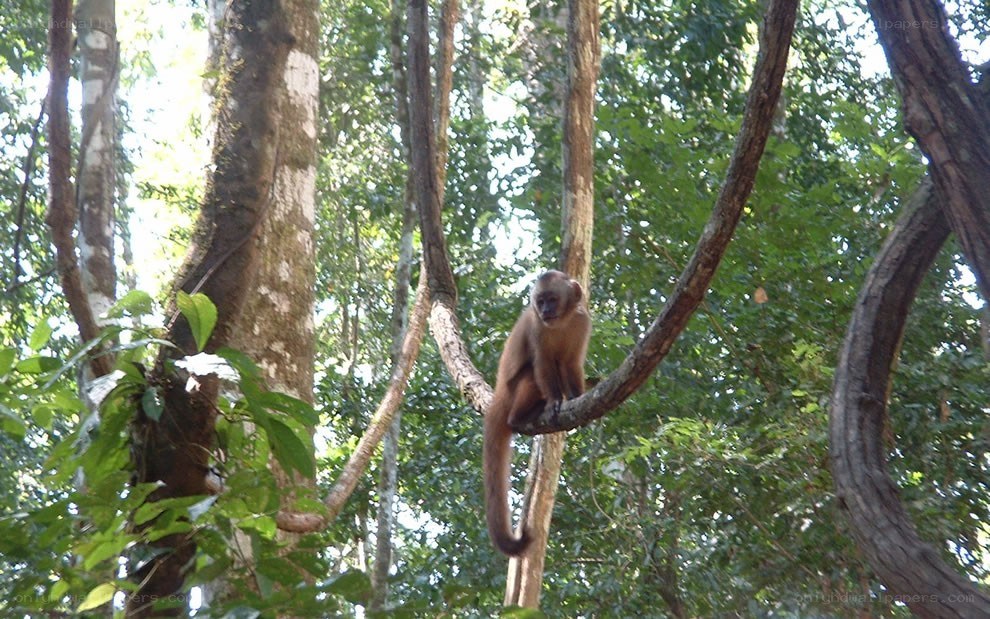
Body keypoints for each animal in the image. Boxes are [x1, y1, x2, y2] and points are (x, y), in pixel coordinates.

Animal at [484, 270, 591, 556]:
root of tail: (498, 393)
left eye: (552, 300)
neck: (561, 322)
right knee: (532, 374)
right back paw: (521, 417)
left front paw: (576, 398)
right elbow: (542, 363)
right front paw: (555, 401)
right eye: (540, 301)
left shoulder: (582, 321)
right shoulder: (537, 327)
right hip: (511, 392)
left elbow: (570, 364)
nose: (545, 311)